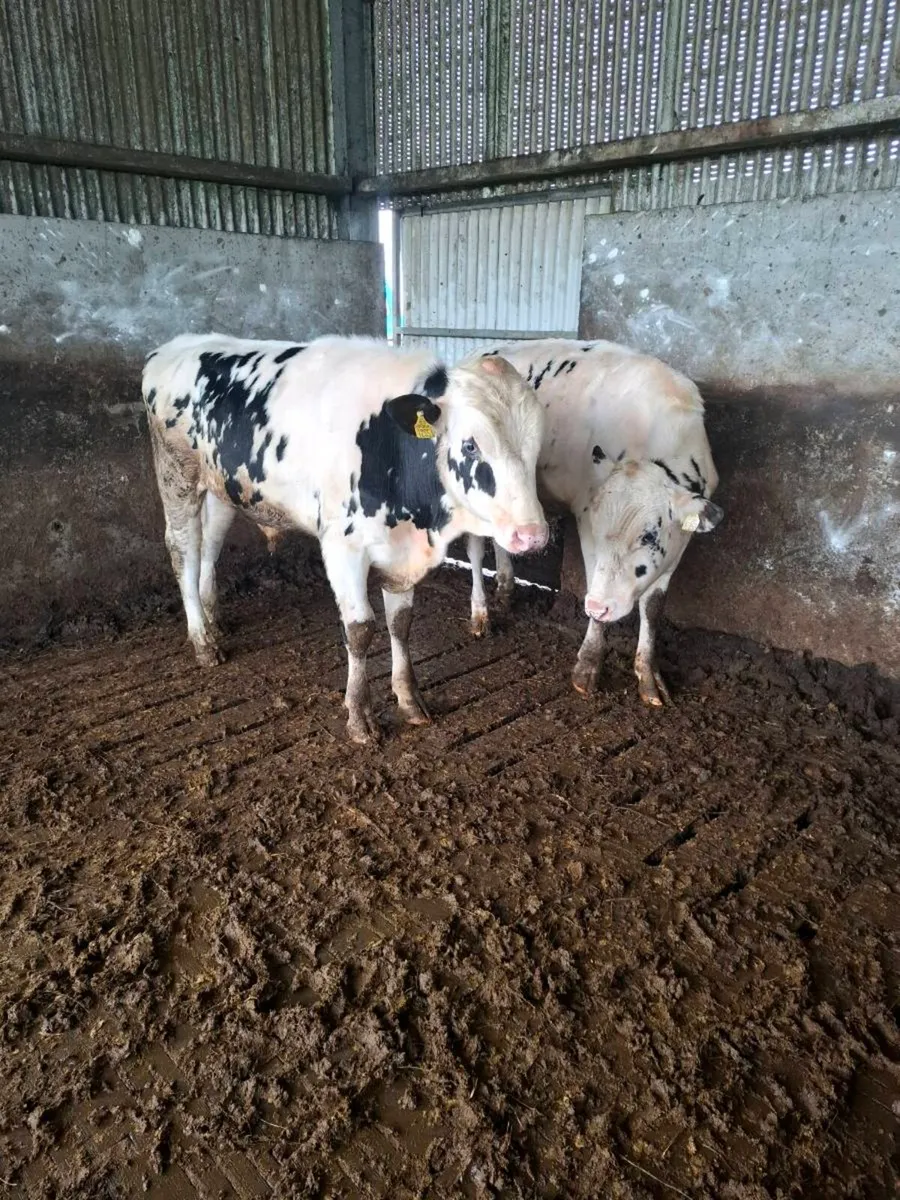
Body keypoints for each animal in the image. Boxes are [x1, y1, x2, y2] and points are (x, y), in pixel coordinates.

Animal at [142, 335, 548, 743]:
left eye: (537, 446)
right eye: (470, 445)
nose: (532, 535)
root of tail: (176, 345)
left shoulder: (399, 550)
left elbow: (400, 623)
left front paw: (409, 699)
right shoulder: (343, 545)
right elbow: (361, 629)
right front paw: (359, 716)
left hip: (220, 489)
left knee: (210, 545)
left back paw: (214, 618)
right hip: (176, 477)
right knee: (183, 552)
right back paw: (203, 641)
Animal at [465, 340, 723, 706]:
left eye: (649, 536)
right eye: (599, 532)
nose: (601, 607)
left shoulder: (680, 544)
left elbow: (653, 608)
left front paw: (648, 675)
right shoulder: (585, 514)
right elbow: (593, 582)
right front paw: (587, 666)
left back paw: (504, 588)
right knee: (474, 550)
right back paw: (480, 614)